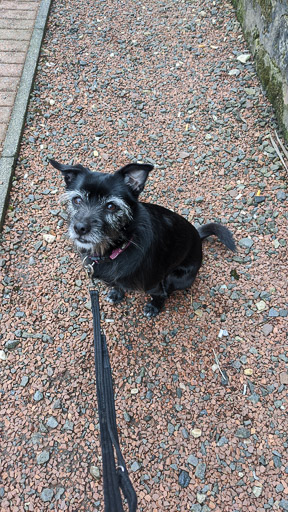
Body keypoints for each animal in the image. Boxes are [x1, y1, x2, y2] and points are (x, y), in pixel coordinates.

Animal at [49, 161, 234, 316]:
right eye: (77, 200)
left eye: (111, 206)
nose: (79, 228)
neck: (116, 249)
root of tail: (197, 234)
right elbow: (117, 285)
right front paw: (116, 293)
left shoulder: (155, 285)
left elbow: (161, 295)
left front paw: (154, 307)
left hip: (176, 278)